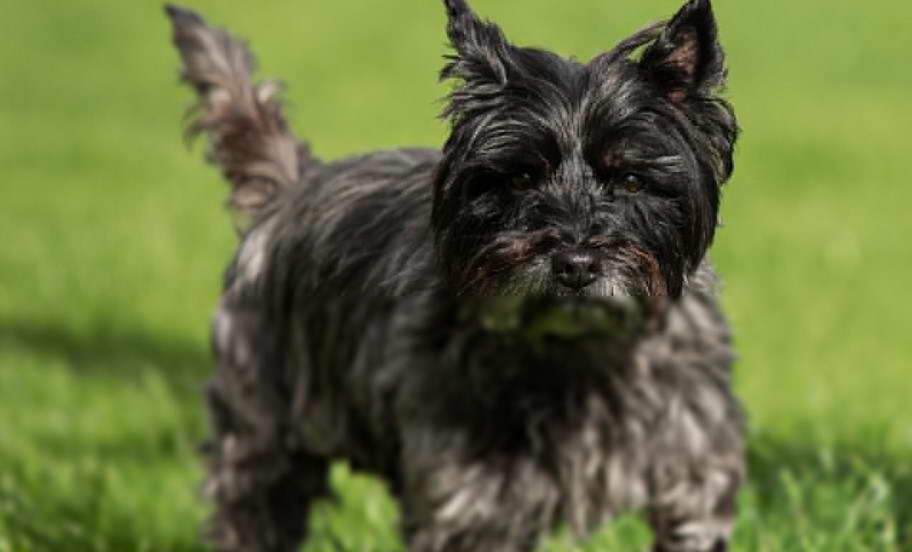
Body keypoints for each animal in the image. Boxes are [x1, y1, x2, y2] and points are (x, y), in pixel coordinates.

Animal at [167, 2, 744, 548]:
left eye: (630, 179)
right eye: (520, 177)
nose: (576, 265)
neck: (579, 354)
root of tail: (292, 186)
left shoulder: (694, 482)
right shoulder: (469, 507)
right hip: (261, 445)